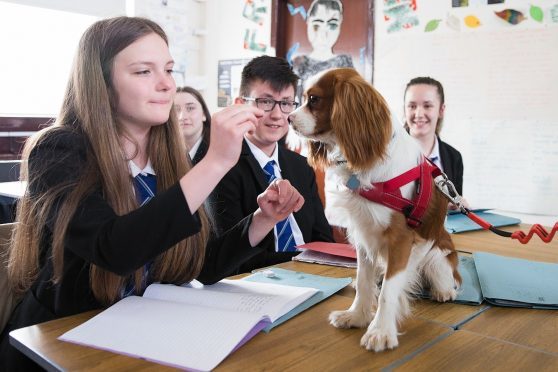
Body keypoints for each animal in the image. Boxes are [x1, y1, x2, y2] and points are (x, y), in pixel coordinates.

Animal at [288, 67, 464, 352]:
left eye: (313, 100)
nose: (289, 118)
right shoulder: (363, 235)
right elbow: (363, 281)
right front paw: (357, 316)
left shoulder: (401, 239)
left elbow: (388, 292)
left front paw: (380, 331)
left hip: (437, 257)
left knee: (446, 278)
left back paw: (444, 290)